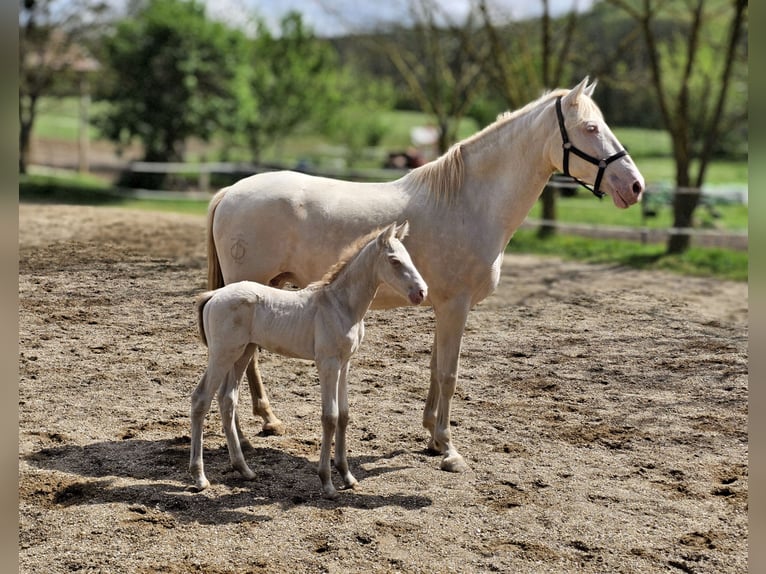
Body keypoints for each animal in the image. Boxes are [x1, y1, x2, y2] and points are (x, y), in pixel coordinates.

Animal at [190, 222, 427, 498]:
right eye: (394, 261)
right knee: (201, 399)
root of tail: (214, 295)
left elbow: (344, 415)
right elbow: (330, 417)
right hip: (222, 353)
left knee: (227, 399)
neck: (340, 305)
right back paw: (200, 477)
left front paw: (347, 476)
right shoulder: (327, 364)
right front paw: (327, 482)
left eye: (409, 257)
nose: (421, 292)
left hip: (242, 352)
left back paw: (244, 470)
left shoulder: (344, 364)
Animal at [205, 77, 645, 474]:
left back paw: (266, 422)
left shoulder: (442, 305)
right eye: (591, 128)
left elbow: (435, 368)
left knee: (248, 361)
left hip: (270, 288)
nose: (636, 186)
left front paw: (432, 437)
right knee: (238, 365)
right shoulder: (456, 306)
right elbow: (449, 373)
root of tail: (230, 191)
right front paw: (449, 449)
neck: (469, 202)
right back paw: (246, 435)